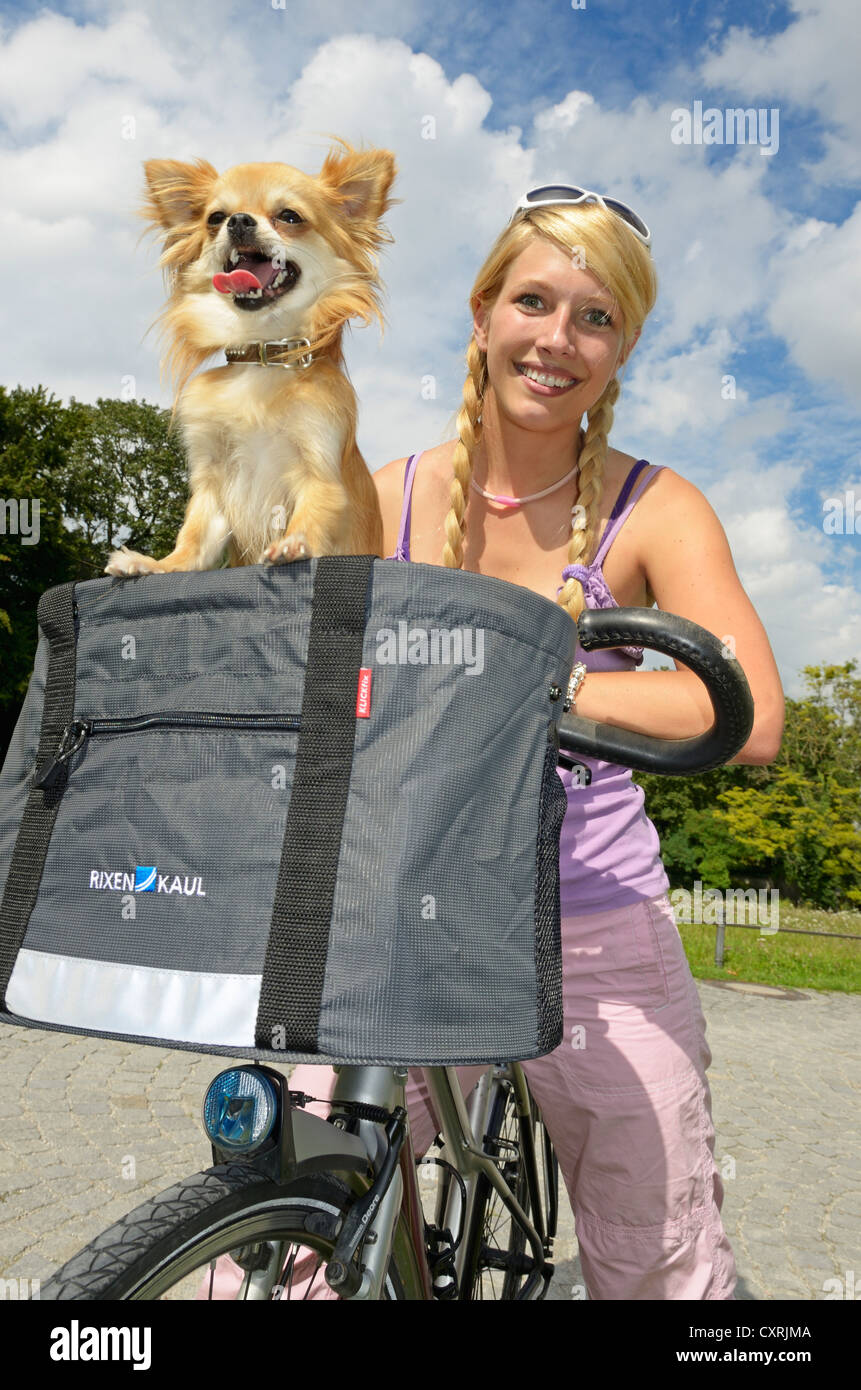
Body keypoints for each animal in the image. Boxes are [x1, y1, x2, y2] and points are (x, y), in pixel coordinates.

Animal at [102, 138, 395, 572]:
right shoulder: (213, 484)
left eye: (289, 216)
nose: (238, 221)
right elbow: (193, 539)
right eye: (215, 218)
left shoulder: (321, 473)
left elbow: (314, 514)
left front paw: (294, 545)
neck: (262, 357)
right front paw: (157, 565)